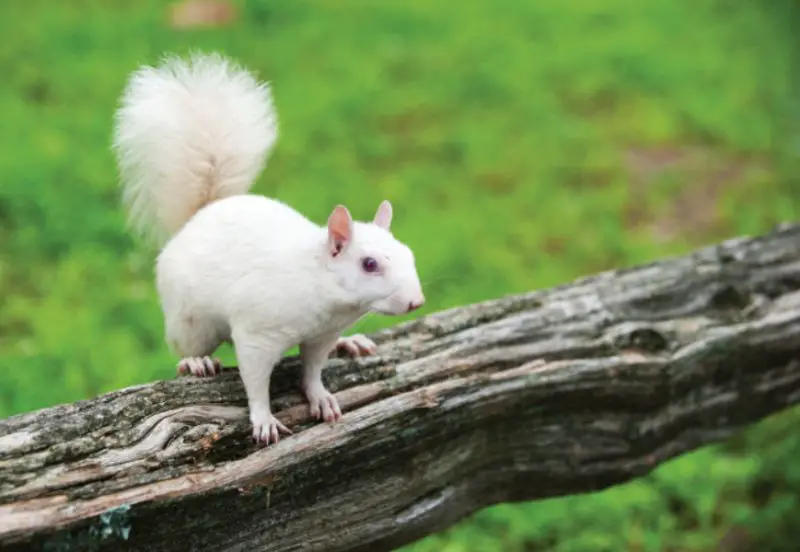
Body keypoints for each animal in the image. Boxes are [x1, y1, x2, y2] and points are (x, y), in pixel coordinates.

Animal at [111, 51, 425, 445]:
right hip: (190, 319)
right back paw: (197, 362)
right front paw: (264, 420)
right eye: (369, 264)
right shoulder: (257, 333)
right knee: (184, 348)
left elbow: (312, 370)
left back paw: (350, 344)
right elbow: (256, 380)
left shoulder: (322, 334)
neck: (323, 294)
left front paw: (321, 397)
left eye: (409, 254)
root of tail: (199, 216)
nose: (417, 301)